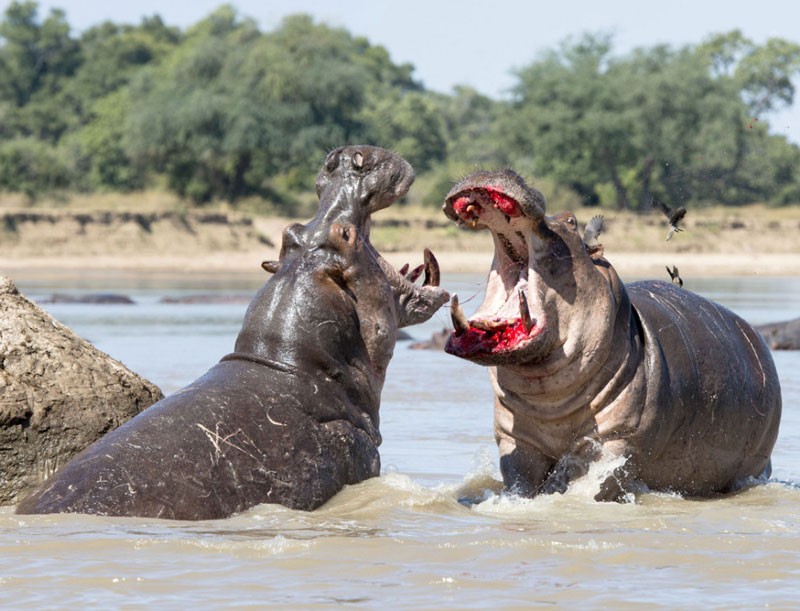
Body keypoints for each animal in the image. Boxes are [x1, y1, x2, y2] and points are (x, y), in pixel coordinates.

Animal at [440, 169, 780, 502]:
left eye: (571, 220)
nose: (501, 169)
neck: (549, 401)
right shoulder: (515, 440)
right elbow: (521, 480)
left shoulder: (619, 439)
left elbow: (593, 482)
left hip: (753, 464)